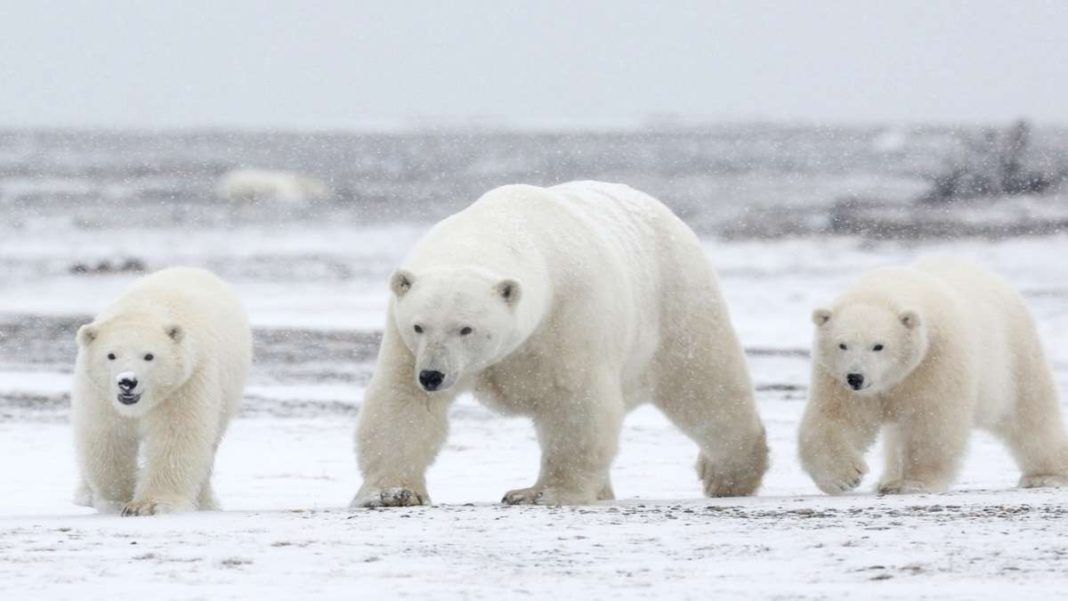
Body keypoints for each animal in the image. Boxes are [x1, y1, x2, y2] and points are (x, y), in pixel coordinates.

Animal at [72, 269, 252, 516]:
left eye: (149, 356)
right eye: (111, 355)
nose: (127, 382)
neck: (145, 308)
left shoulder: (185, 383)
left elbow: (175, 436)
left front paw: (147, 505)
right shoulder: (99, 394)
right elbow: (108, 435)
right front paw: (117, 499)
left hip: (227, 390)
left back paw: (206, 501)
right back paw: (85, 495)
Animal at [350, 180, 768, 508]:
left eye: (466, 328)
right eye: (419, 325)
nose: (433, 375)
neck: (502, 227)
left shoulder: (569, 313)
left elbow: (575, 401)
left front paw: (538, 493)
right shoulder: (404, 344)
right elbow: (402, 402)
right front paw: (392, 493)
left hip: (676, 301)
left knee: (705, 384)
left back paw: (728, 475)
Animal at [798, 256, 1068, 495]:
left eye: (878, 346)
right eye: (842, 344)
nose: (855, 377)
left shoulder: (935, 359)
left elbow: (932, 420)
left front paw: (916, 482)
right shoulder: (836, 378)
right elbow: (836, 418)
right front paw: (844, 478)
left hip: (1013, 355)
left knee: (1030, 413)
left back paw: (1046, 475)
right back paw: (889, 480)